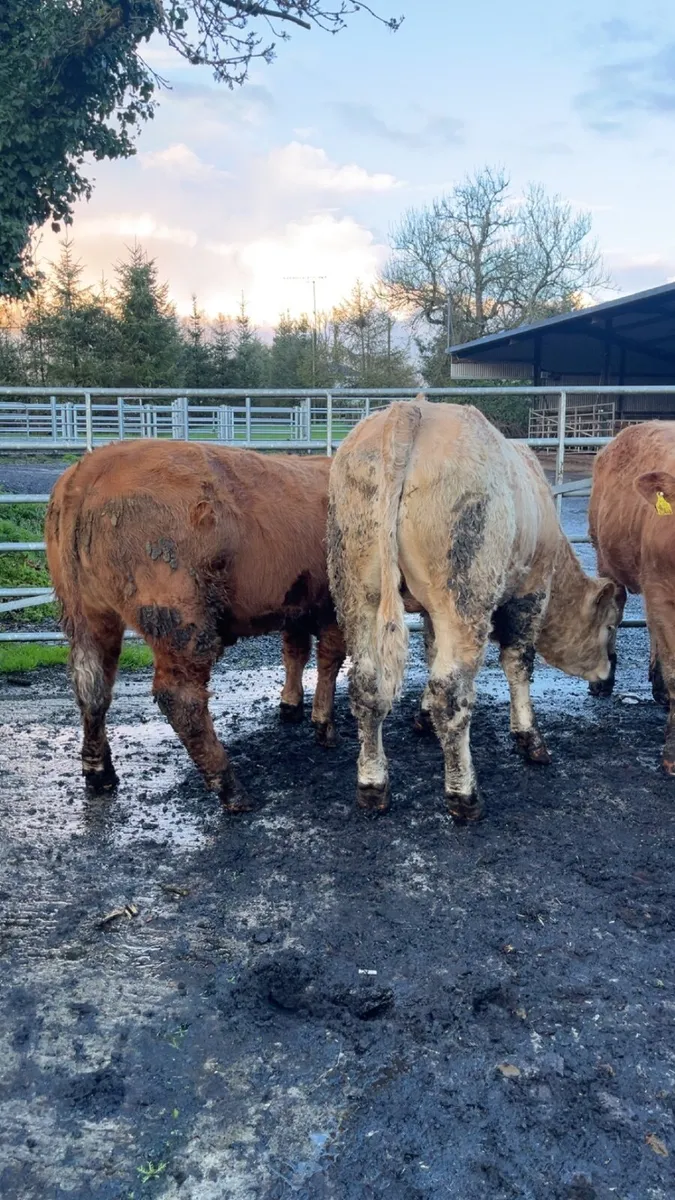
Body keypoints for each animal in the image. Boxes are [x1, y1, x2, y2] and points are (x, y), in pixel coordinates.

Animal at [45, 440, 345, 810]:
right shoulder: (334, 605)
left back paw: (99, 773)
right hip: (181, 622)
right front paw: (324, 725)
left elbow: (295, 652)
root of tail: (91, 468)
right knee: (181, 698)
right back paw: (229, 786)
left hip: (88, 616)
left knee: (92, 688)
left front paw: (291, 706)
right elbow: (329, 662)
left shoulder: (296, 602)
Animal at [328, 397, 624, 822]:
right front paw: (529, 738)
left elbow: (432, 651)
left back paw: (372, 785)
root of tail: (409, 410)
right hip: (465, 588)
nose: (608, 680)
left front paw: (420, 716)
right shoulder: (531, 590)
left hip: (356, 588)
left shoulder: (430, 612)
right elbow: (519, 662)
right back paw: (464, 795)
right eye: (612, 626)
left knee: (367, 686)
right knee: (452, 694)